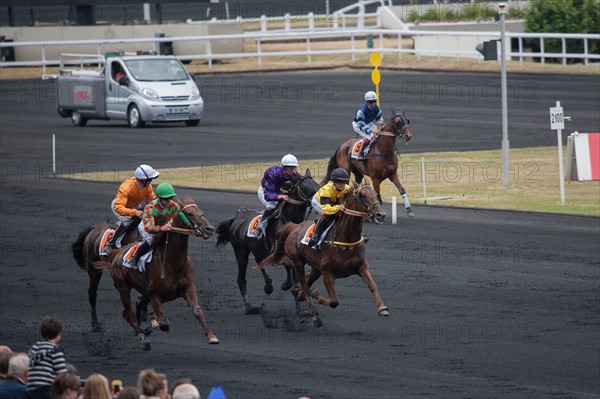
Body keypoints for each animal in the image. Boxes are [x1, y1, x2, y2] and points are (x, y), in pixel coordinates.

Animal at [92, 198, 217, 352]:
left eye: (201, 211)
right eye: (189, 213)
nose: (209, 229)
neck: (173, 262)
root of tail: (116, 253)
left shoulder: (188, 288)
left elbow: (197, 311)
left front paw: (211, 336)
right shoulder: (155, 294)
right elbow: (163, 322)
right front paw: (154, 323)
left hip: (144, 291)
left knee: (137, 304)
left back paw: (141, 329)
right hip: (123, 287)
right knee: (128, 313)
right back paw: (143, 338)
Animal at [214, 172, 318, 316]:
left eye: (317, 185)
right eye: (306, 187)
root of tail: (237, 218)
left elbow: (297, 280)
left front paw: (301, 309)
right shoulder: (277, 251)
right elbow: (288, 266)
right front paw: (285, 285)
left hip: (257, 249)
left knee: (260, 261)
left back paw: (268, 286)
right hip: (241, 252)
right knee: (241, 279)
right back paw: (250, 307)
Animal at [258, 178, 390, 328]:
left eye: (375, 193)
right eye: (362, 195)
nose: (381, 215)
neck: (345, 239)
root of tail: (294, 227)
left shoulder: (362, 267)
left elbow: (373, 286)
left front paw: (382, 308)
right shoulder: (327, 273)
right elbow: (333, 301)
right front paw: (316, 296)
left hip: (316, 268)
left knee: (305, 285)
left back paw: (300, 294)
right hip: (298, 263)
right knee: (305, 288)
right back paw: (315, 316)